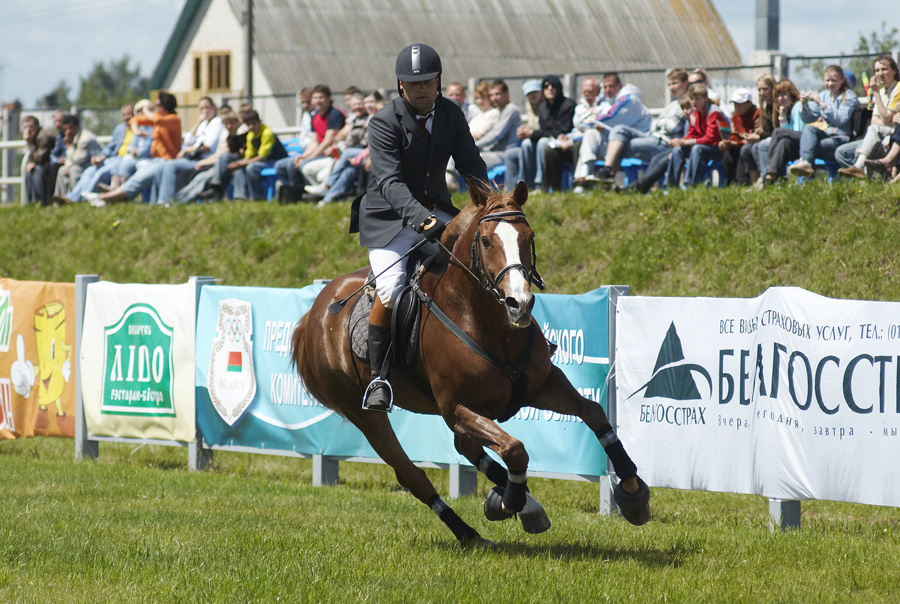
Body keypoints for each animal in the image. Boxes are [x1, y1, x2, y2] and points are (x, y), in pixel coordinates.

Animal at [292, 180, 652, 548]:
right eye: (487, 241)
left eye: (529, 237)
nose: (519, 304)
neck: (486, 321)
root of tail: (315, 312)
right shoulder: (457, 407)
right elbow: (515, 449)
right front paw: (509, 502)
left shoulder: (542, 386)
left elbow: (593, 413)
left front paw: (632, 492)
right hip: (364, 414)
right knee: (413, 475)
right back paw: (472, 531)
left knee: (464, 446)